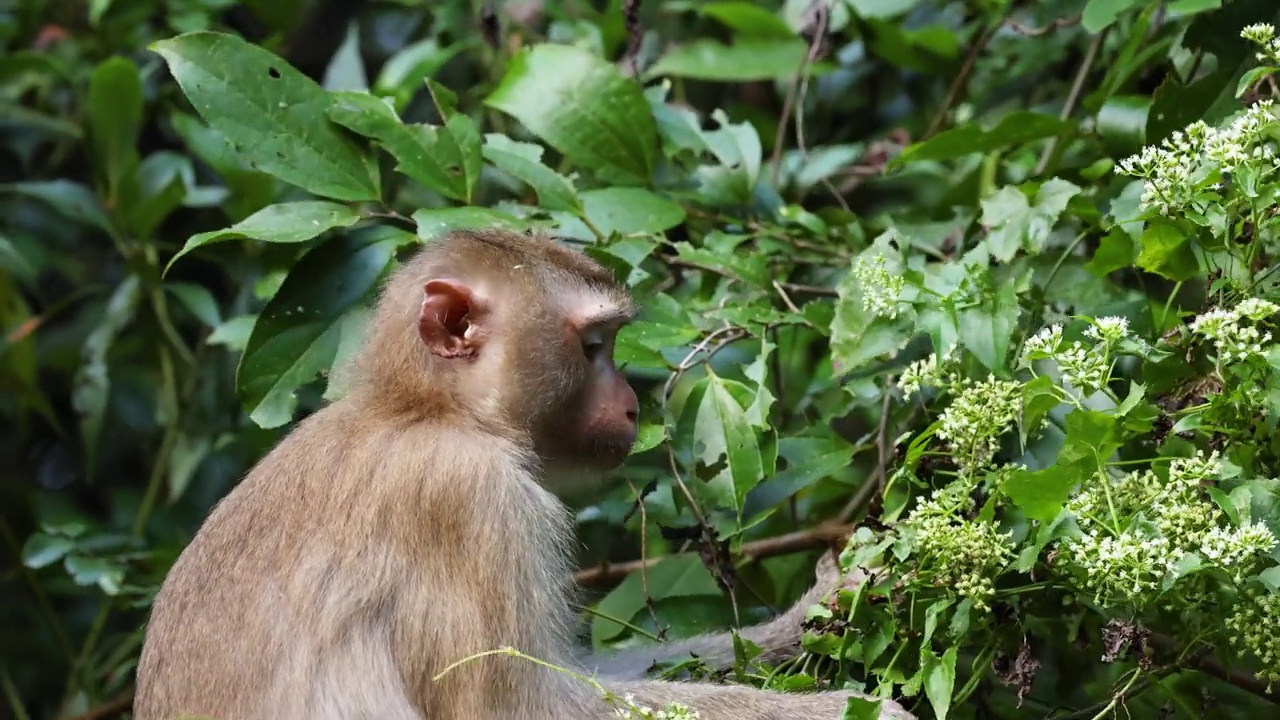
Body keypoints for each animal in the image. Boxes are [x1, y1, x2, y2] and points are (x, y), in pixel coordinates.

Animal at [135, 229, 911, 717]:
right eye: (594, 346)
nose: (631, 402)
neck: (428, 411)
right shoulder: (471, 500)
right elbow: (522, 709)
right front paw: (846, 710)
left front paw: (816, 614)